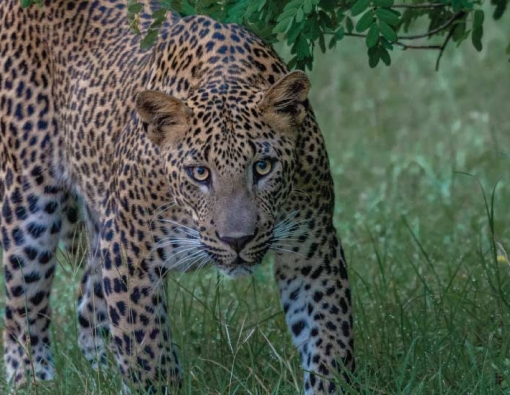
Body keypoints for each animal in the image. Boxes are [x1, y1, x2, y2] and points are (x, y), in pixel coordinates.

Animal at [0, 0, 354, 392]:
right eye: (199, 172)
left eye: (262, 167)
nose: (237, 241)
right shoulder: (129, 251)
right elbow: (146, 352)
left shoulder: (312, 246)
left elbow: (329, 340)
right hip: (30, 205)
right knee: (22, 307)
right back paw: (33, 379)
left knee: (87, 305)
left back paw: (101, 373)